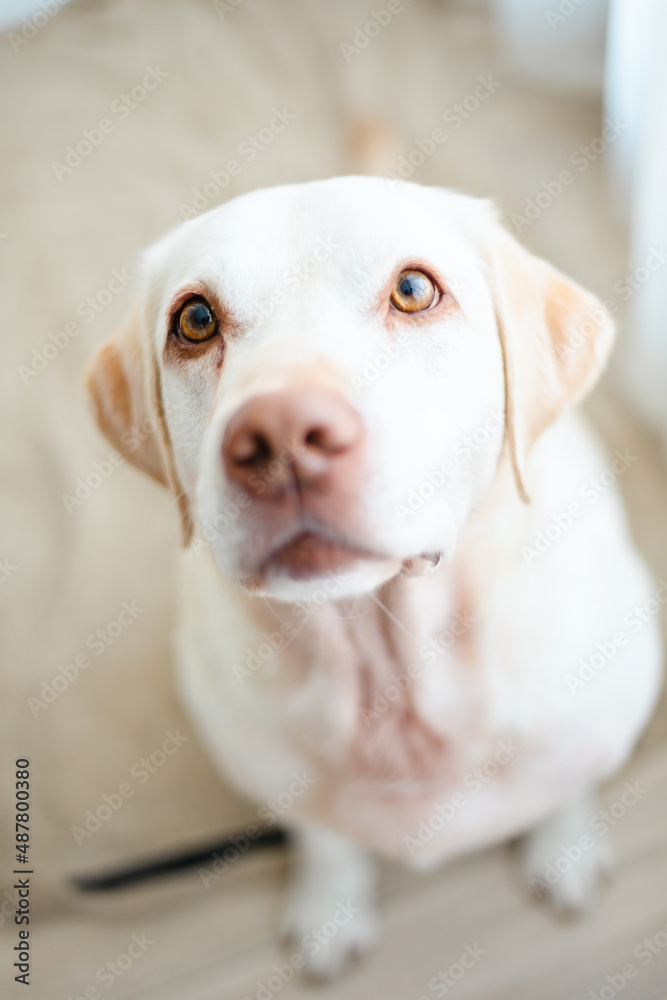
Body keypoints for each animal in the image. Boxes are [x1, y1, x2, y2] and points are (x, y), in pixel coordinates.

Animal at [87, 178, 664, 976]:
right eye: (195, 320)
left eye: (414, 289)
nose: (282, 438)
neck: (389, 668)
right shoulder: (281, 782)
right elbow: (326, 839)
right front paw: (331, 907)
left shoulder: (593, 727)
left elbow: (567, 787)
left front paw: (565, 847)